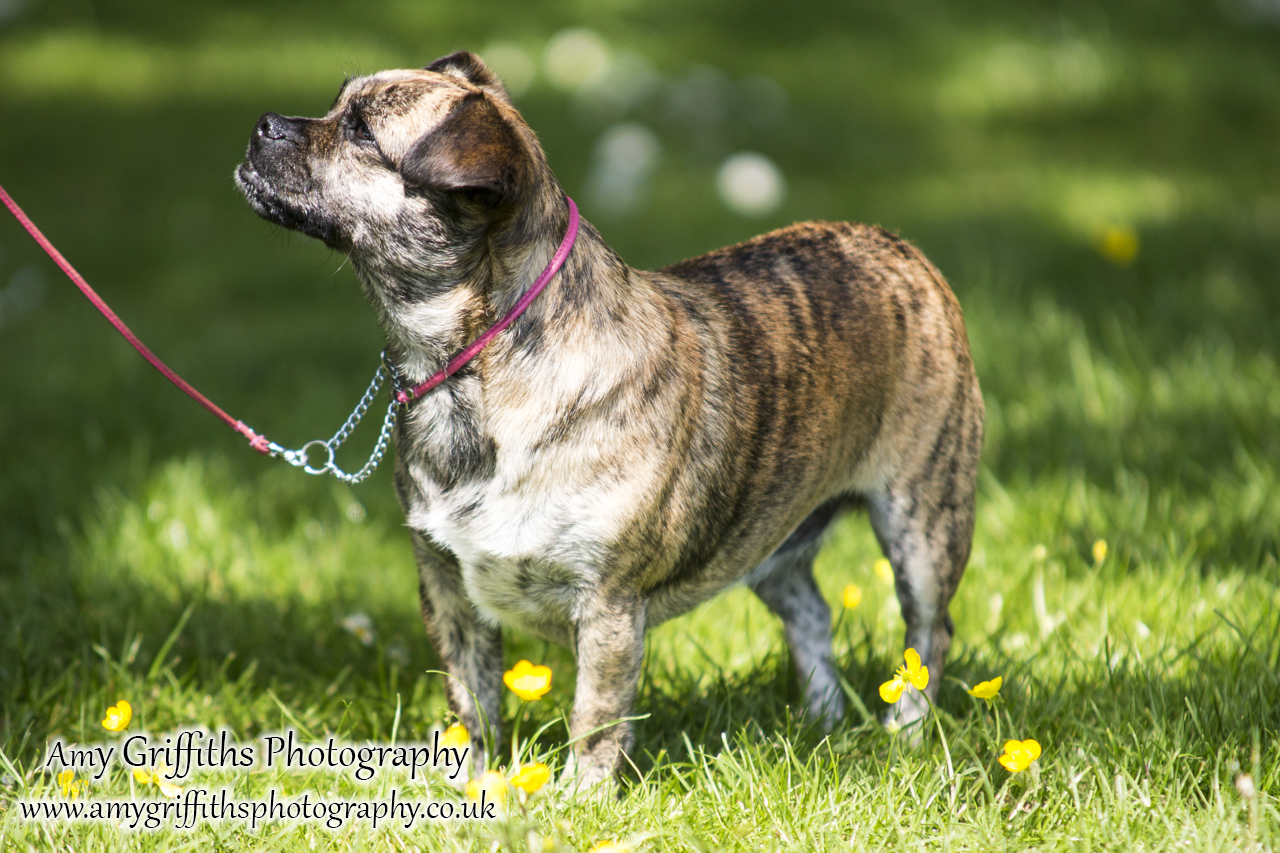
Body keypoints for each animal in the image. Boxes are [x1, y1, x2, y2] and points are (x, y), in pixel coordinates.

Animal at [235, 51, 983, 783]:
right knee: (811, 612)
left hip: (923, 524)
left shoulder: (609, 606)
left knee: (929, 634)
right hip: (770, 536)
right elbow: (473, 702)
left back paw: (906, 733)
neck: (473, 368)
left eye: (361, 132)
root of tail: (898, 247)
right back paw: (824, 720)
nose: (263, 124)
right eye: (338, 105)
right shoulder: (448, 593)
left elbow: (595, 715)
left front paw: (579, 797)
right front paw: (471, 784)